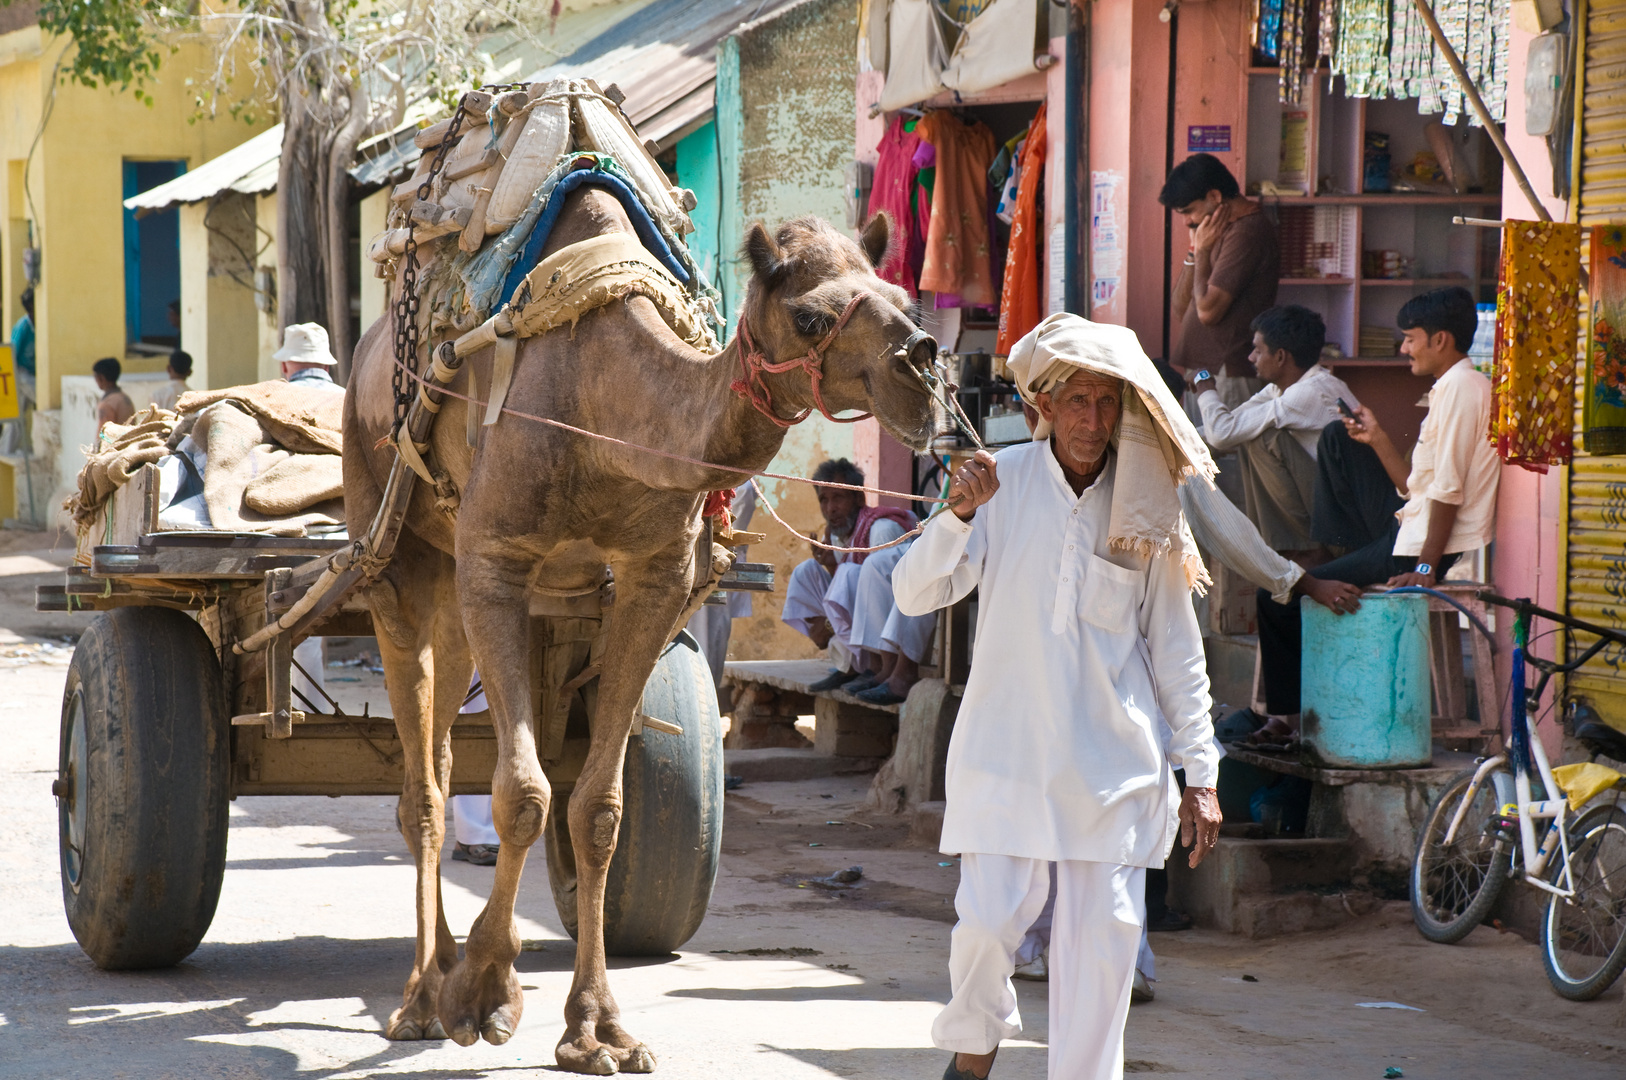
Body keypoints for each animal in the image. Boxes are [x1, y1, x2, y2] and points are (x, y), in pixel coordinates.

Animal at [343, 189, 943, 1073]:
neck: (603, 399)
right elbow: (524, 793)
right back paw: (422, 996)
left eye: (905, 298)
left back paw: (442, 969)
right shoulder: (496, 560)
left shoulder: (654, 579)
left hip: (457, 591)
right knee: (420, 784)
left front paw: (597, 1029)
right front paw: (484, 994)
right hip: (391, 545)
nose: (925, 368)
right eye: (809, 316)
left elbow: (597, 807)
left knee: (445, 751)